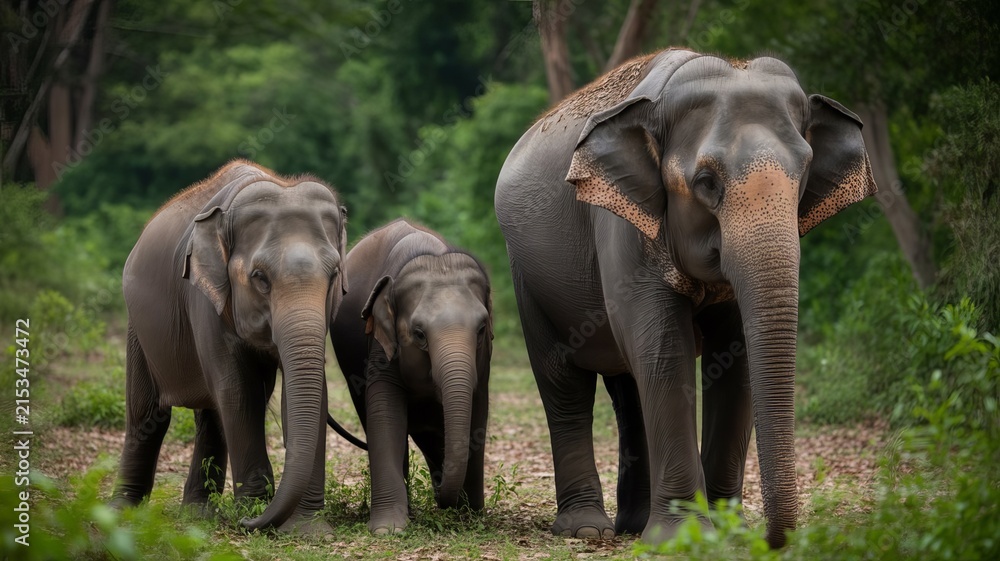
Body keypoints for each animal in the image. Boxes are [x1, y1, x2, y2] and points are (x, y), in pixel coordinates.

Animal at [110, 160, 349, 534]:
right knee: (147, 415)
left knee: (209, 415)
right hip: (137, 327)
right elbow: (239, 391)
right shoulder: (204, 299)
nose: (252, 521)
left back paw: (197, 513)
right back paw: (121, 511)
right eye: (260, 278)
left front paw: (307, 528)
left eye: (335, 274)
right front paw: (253, 509)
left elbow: (307, 391)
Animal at [331, 219, 492, 534]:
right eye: (419, 334)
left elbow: (478, 412)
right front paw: (388, 529)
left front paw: (470, 515)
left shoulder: (484, 361)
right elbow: (385, 413)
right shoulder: (380, 346)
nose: (443, 499)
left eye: (481, 329)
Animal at [494, 49, 876, 548]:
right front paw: (685, 538)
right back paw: (588, 529)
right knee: (564, 385)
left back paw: (634, 524)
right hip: (527, 278)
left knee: (629, 391)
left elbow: (736, 359)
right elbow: (663, 351)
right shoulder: (622, 227)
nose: (772, 538)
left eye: (804, 174)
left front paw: (727, 531)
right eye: (706, 182)